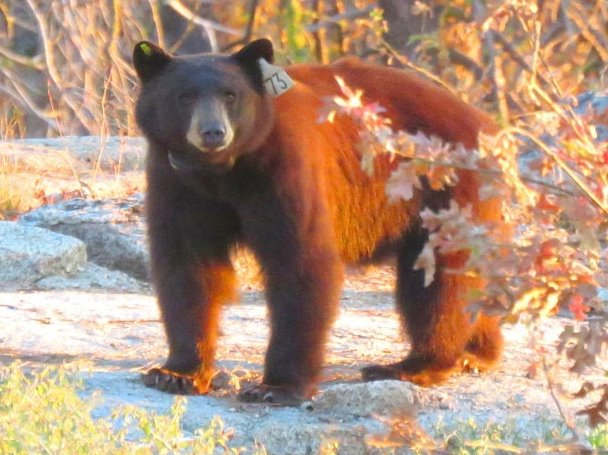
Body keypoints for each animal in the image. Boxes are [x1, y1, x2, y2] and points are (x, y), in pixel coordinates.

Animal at [134, 37, 504, 404]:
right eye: (184, 96)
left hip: (445, 186)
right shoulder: (176, 181)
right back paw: (476, 353)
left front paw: (276, 386)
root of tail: (485, 124)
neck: (220, 172)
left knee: (440, 280)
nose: (212, 132)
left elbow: (300, 260)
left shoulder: (283, 169)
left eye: (230, 95)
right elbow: (186, 265)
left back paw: (415, 365)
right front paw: (177, 372)